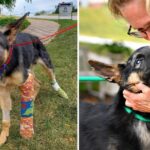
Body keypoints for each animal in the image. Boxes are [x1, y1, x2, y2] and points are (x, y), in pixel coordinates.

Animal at [0, 12, 68, 144]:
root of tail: (34, 36)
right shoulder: (3, 90)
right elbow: (5, 120)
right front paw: (3, 135)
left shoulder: (25, 80)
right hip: (30, 70)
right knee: (38, 83)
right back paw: (33, 97)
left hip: (46, 64)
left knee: (52, 78)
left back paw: (60, 91)